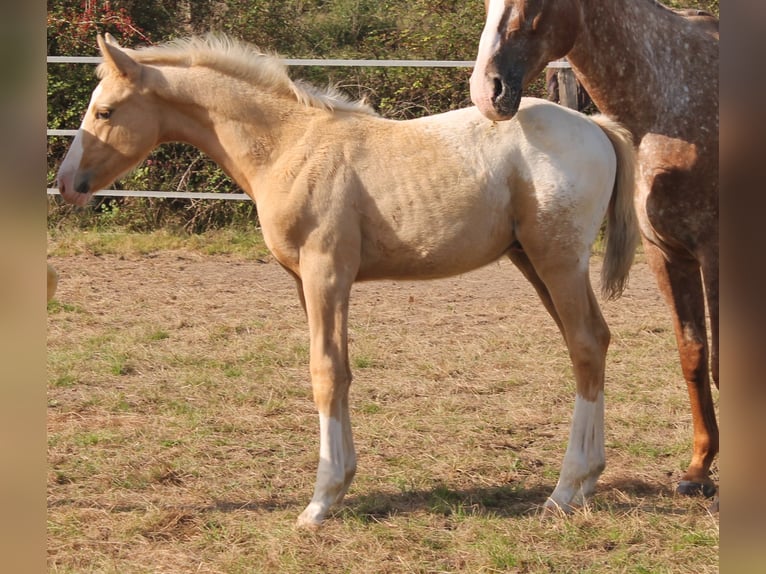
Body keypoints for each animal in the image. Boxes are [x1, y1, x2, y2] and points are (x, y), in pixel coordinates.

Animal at [57, 35, 640, 528]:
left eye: (105, 111)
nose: (66, 183)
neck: (288, 145)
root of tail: (597, 127)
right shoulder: (305, 280)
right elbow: (336, 370)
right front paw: (339, 486)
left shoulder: (327, 271)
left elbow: (326, 373)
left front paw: (320, 501)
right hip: (533, 261)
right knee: (594, 340)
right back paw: (587, 482)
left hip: (556, 260)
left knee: (585, 345)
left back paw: (564, 491)